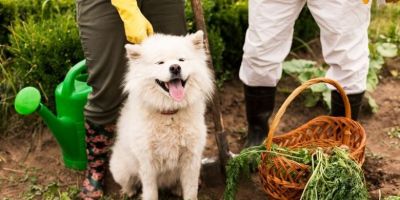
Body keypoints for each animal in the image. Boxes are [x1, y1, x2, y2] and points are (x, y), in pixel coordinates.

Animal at [109, 30, 214, 200]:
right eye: (160, 63)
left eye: (181, 60)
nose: (175, 68)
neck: (170, 113)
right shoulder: (148, 163)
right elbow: (150, 193)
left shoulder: (191, 159)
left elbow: (191, 191)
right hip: (121, 169)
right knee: (128, 182)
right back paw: (128, 191)